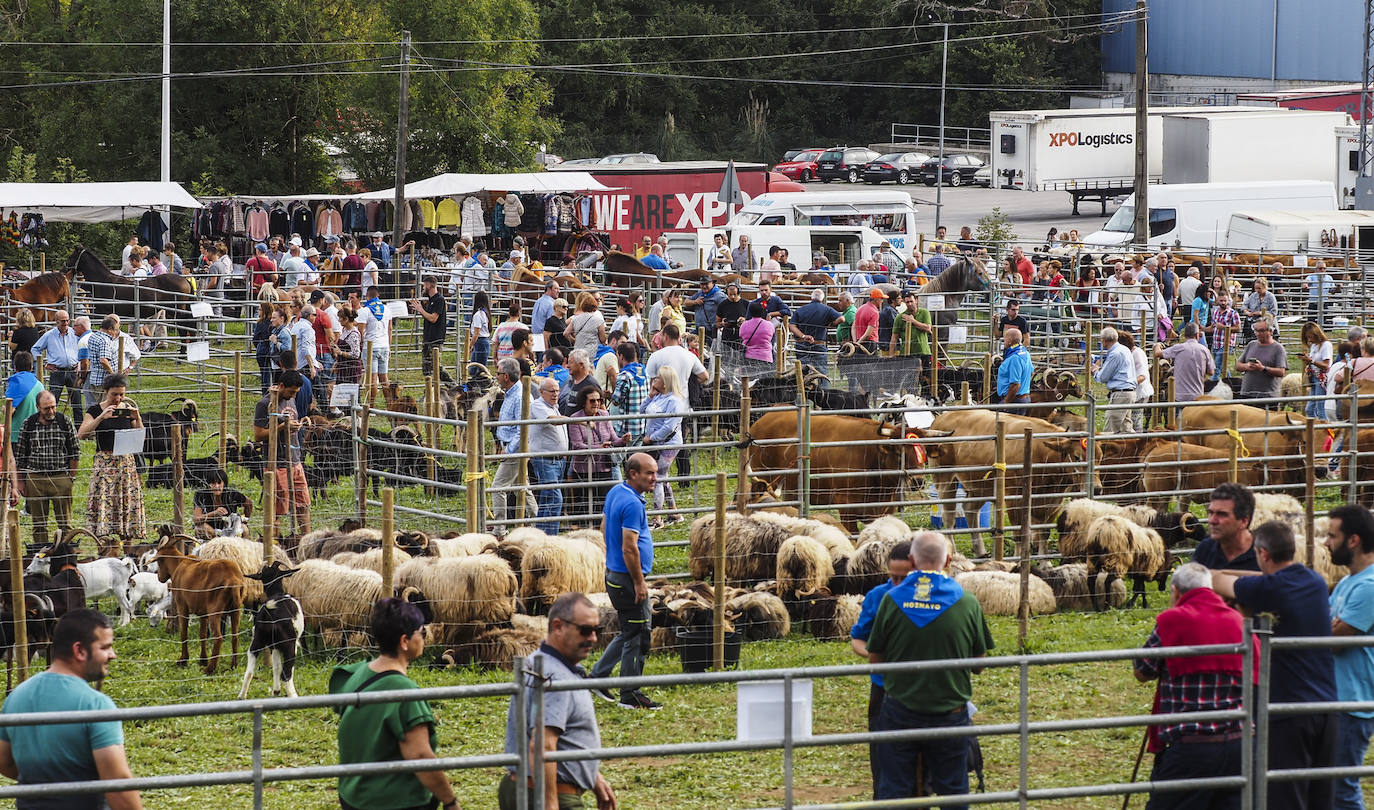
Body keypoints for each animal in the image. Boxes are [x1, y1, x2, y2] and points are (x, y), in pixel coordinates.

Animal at [66, 247, 199, 336]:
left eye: (71, 257)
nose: (63, 271)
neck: (103, 282)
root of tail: (185, 280)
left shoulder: (102, 313)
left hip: (178, 312)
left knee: (184, 329)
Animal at [157, 535, 248, 675]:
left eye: (159, 561)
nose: (159, 577)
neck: (179, 565)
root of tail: (233, 579)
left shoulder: (182, 606)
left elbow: (184, 632)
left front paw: (183, 660)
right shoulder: (203, 613)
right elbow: (203, 635)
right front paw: (202, 659)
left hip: (215, 611)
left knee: (218, 638)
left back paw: (210, 668)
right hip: (236, 609)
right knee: (235, 636)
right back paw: (233, 665)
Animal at [241, 562, 306, 702]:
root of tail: (269, 610)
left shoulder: (274, 646)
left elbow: (276, 666)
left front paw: (276, 691)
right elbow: (284, 669)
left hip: (257, 640)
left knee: (249, 671)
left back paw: (241, 697)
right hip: (289, 644)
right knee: (286, 674)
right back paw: (294, 696)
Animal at [923, 411, 1093, 560]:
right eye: (1077, 457)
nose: (1096, 488)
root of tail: (941, 419)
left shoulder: (1054, 502)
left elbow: (1043, 532)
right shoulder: (1014, 499)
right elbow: (1020, 533)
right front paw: (1018, 559)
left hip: (981, 486)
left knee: (970, 510)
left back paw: (981, 551)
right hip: (946, 480)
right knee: (949, 517)